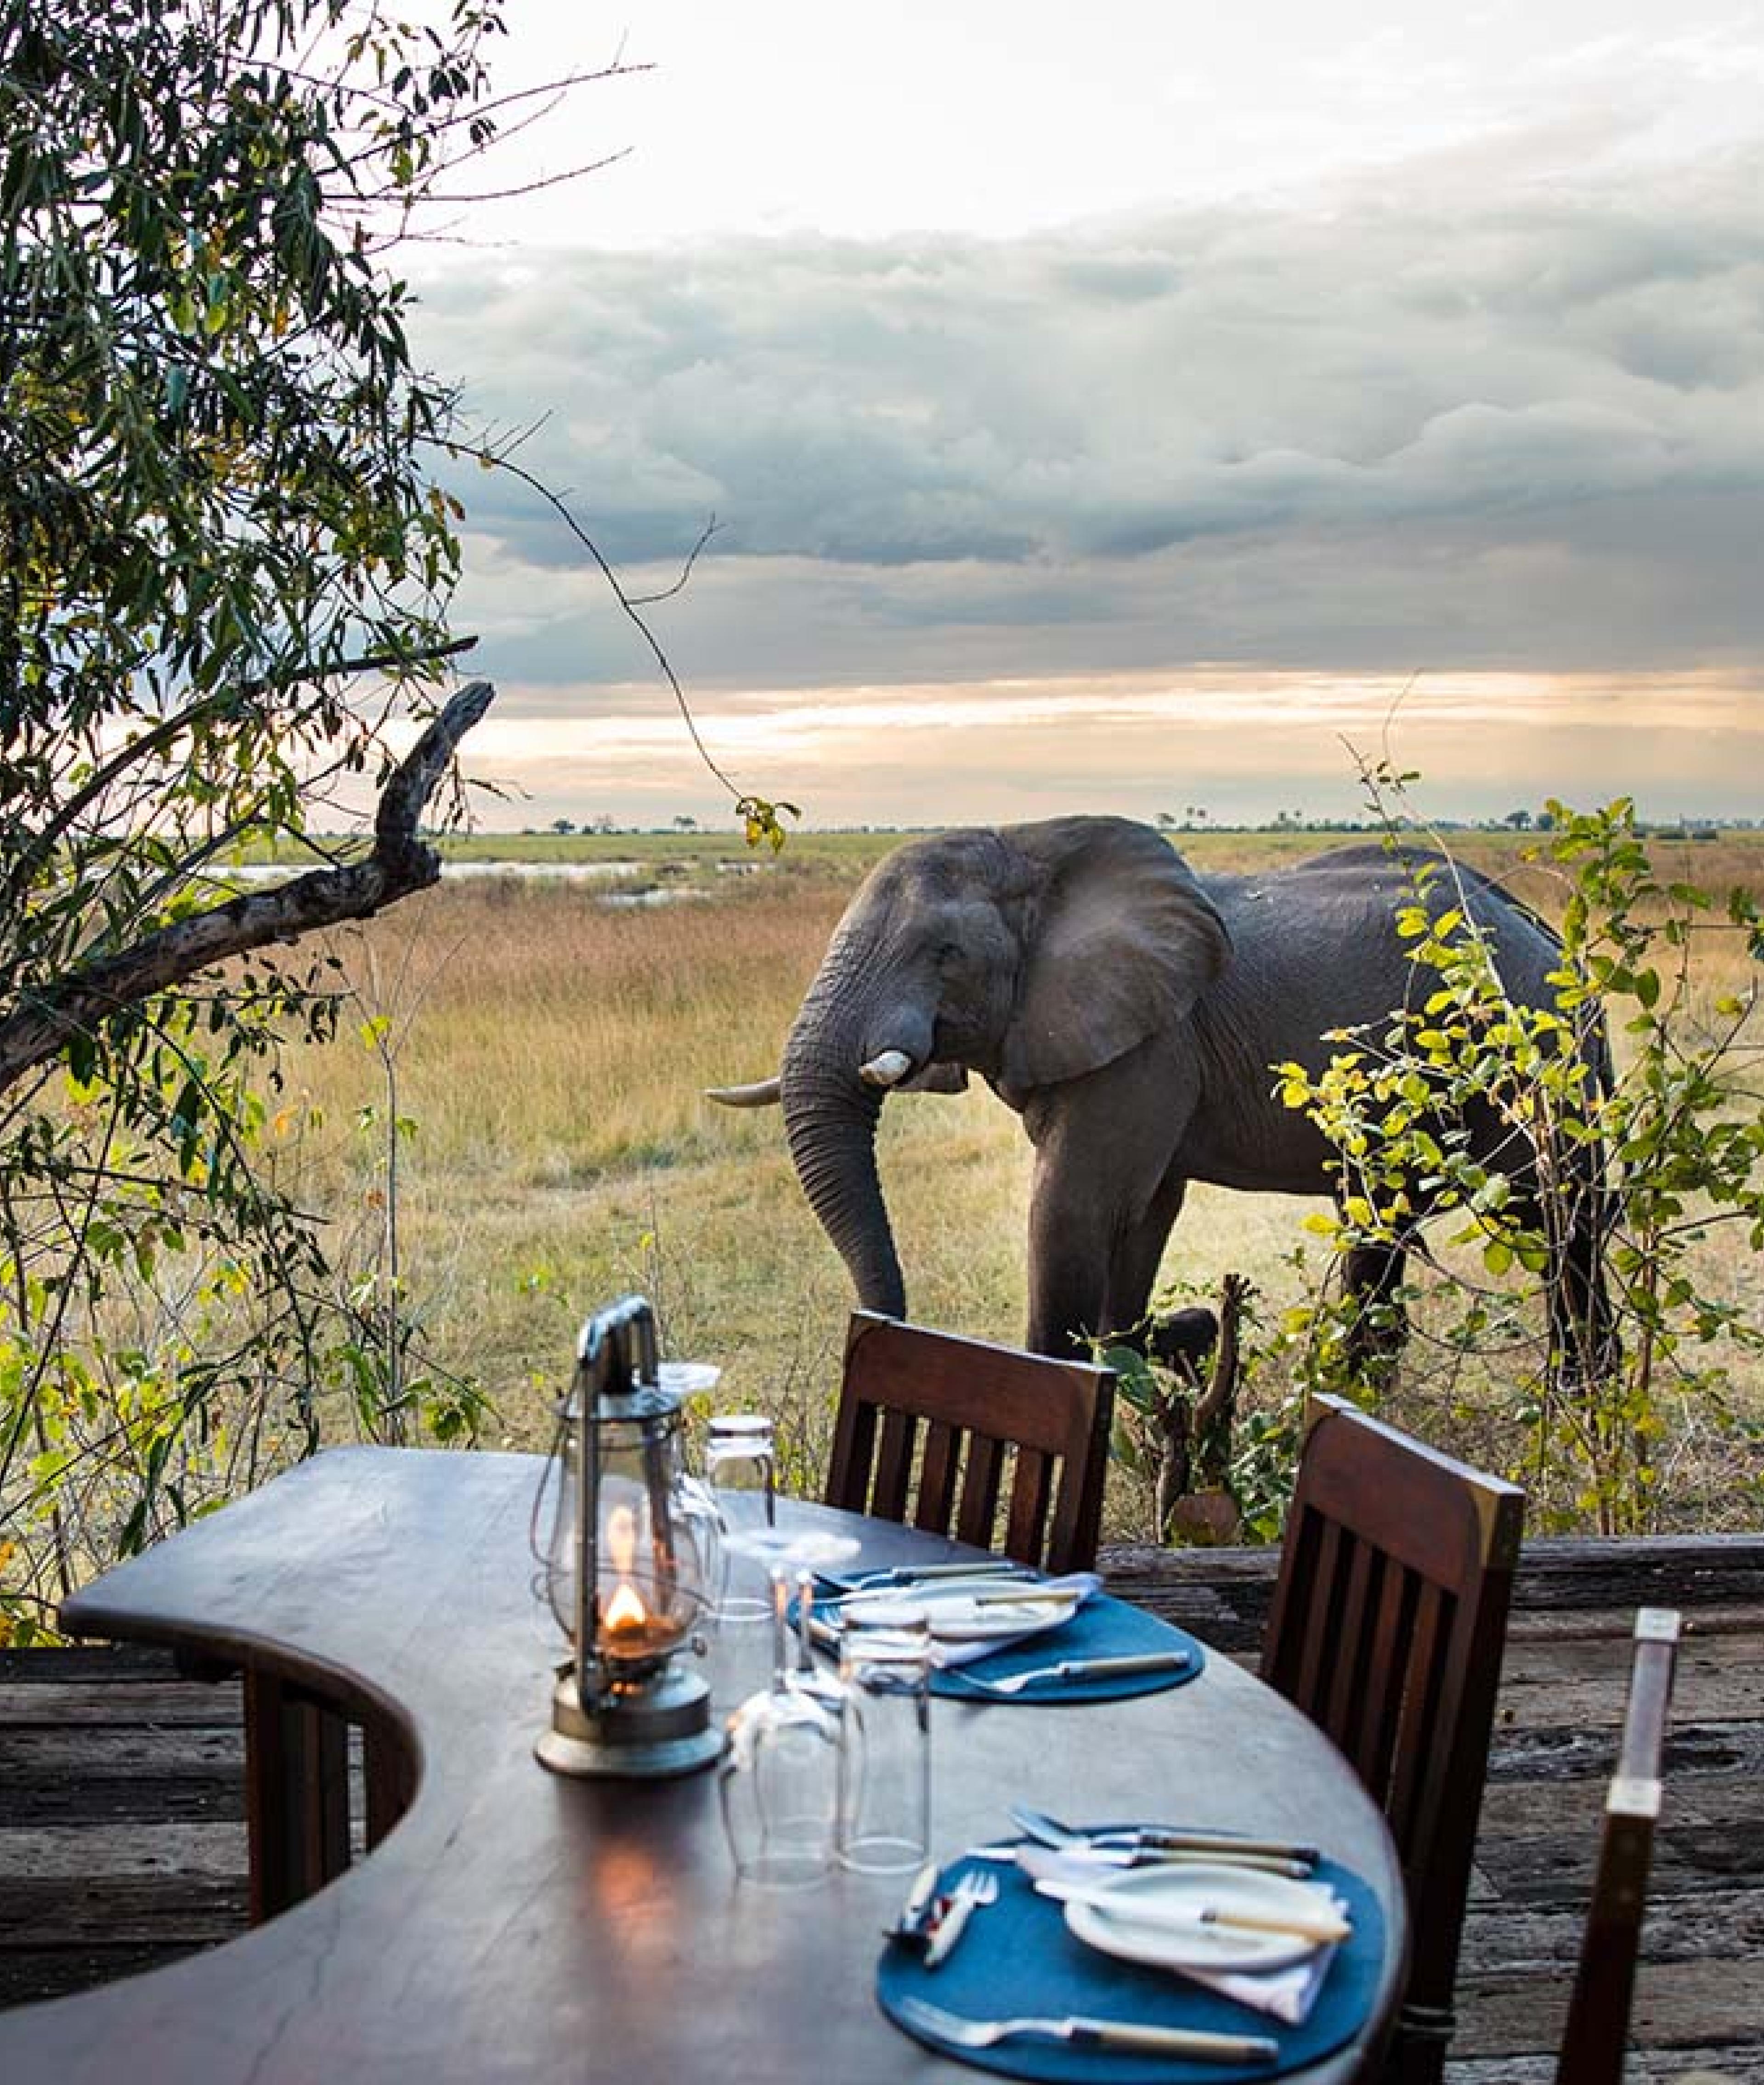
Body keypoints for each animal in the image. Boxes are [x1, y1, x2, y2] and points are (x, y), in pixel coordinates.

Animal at [709, 814, 1614, 1375]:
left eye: (945, 952)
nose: (1201, 1323)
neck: (1026, 846)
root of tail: (1549, 935)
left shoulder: (1152, 1045)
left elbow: (1072, 1209)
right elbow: (1141, 1212)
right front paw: (1149, 1350)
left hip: (1533, 1056)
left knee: (1555, 1215)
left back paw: (1573, 1395)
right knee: (1387, 1214)